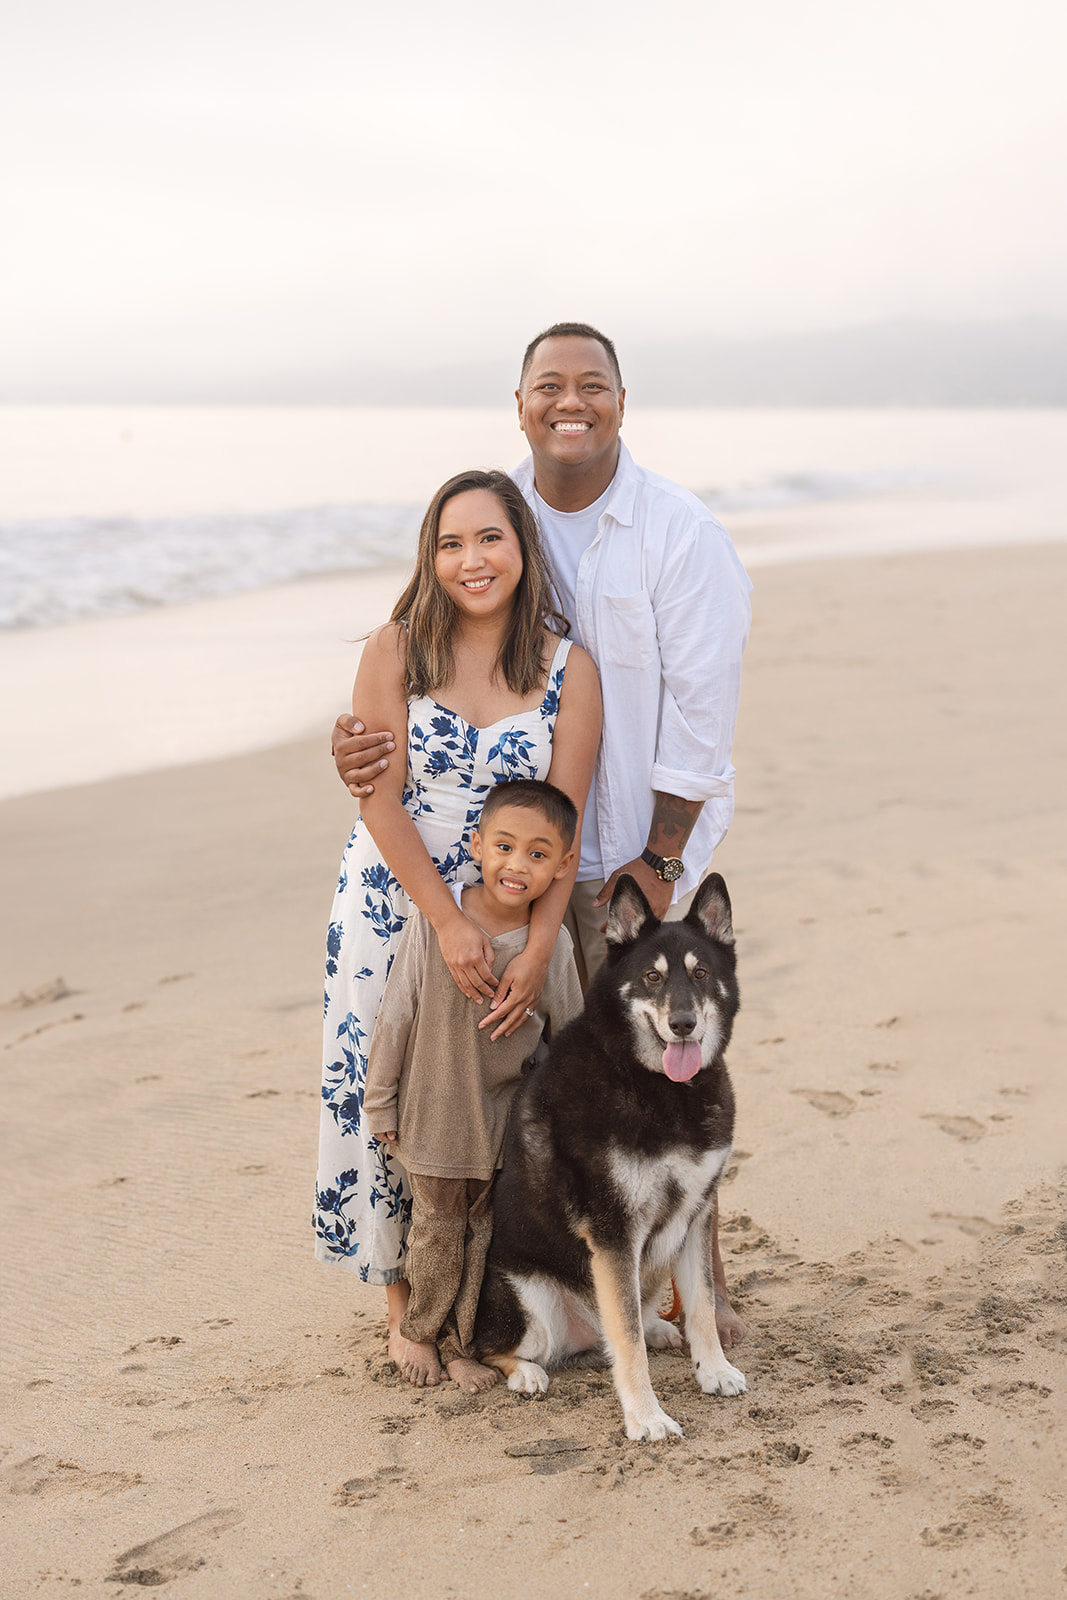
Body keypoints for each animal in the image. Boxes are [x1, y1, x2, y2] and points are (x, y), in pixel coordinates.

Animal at [479, 870, 748, 1446]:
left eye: (702, 974)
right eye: (651, 977)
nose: (684, 1024)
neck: (657, 1086)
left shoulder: (696, 1215)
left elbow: (701, 1307)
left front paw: (713, 1370)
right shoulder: (613, 1231)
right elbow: (627, 1345)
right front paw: (646, 1416)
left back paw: (656, 1325)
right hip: (528, 1300)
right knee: (494, 1348)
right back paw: (525, 1372)